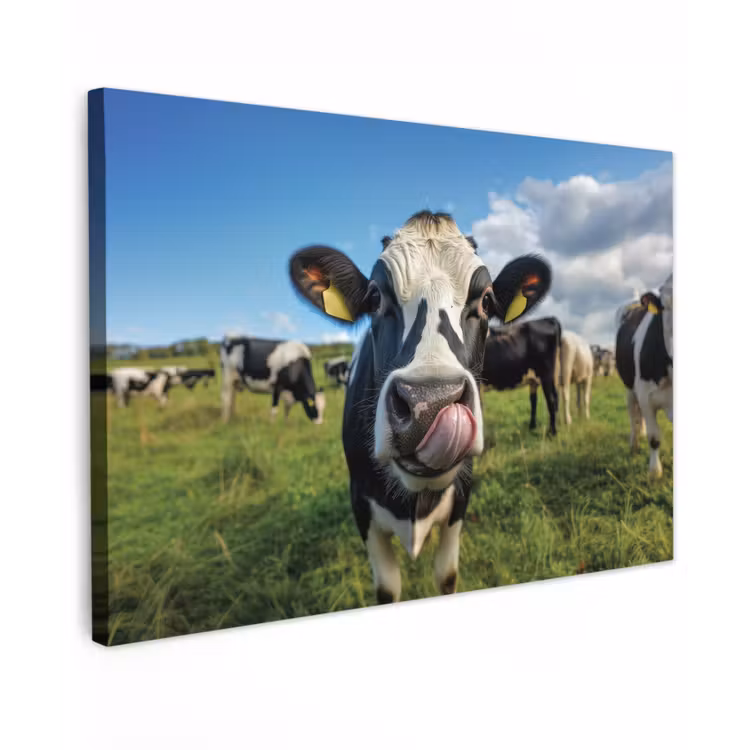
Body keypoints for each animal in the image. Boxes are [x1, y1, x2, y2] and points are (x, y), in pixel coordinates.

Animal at [288, 210, 551, 604]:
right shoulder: (360, 504)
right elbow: (387, 589)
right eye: (375, 297)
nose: (429, 404)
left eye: (487, 301)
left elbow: (447, 576)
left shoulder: (461, 496)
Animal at [614, 274, 673, 478]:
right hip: (630, 388)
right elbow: (654, 438)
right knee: (634, 414)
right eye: (666, 306)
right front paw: (655, 473)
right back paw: (634, 443)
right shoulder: (646, 397)